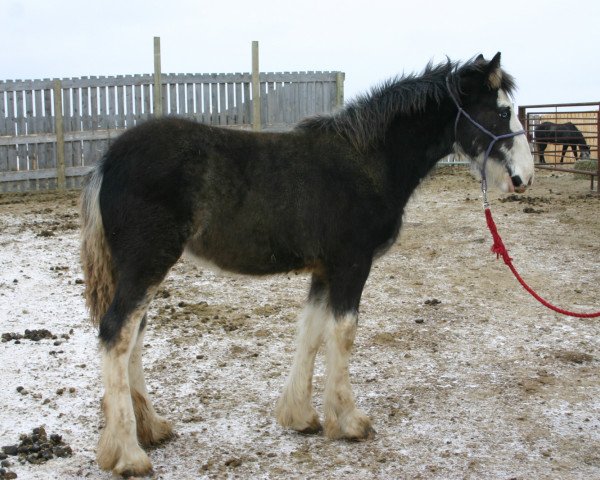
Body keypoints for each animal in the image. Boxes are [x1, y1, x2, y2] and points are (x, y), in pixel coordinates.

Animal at [79, 53, 536, 476]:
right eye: (500, 111)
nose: (523, 178)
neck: (367, 161)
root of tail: (107, 162)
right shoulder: (351, 264)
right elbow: (343, 334)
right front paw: (349, 421)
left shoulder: (324, 270)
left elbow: (312, 332)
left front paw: (299, 416)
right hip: (146, 265)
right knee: (117, 334)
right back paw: (129, 455)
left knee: (133, 338)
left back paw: (151, 429)